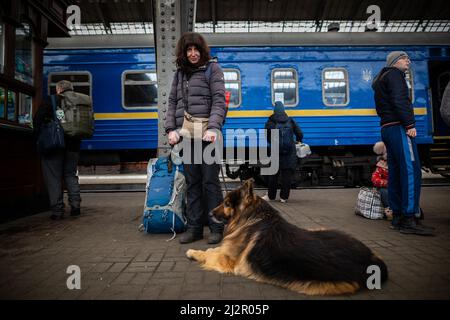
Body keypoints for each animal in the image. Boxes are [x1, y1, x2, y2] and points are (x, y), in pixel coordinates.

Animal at [186, 179, 386, 296]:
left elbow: (209, 252)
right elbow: (213, 249)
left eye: (227, 203)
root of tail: (372, 259)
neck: (251, 218)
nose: (210, 213)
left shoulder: (227, 260)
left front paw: (193, 252)